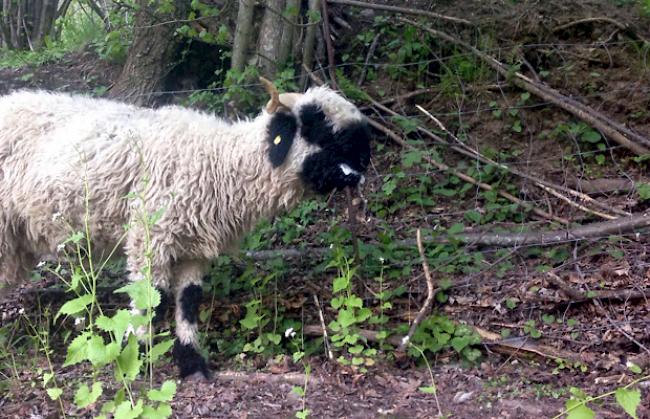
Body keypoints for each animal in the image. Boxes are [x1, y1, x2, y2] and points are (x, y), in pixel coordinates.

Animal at [0, 82, 370, 380]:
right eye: (318, 126)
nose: (366, 158)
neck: (220, 164)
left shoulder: (194, 247)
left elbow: (189, 301)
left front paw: (192, 363)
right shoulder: (150, 235)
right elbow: (152, 300)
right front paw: (137, 358)